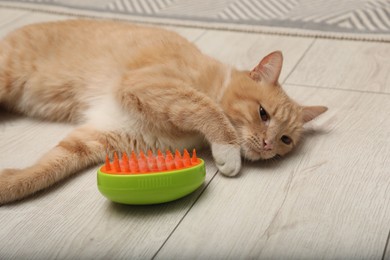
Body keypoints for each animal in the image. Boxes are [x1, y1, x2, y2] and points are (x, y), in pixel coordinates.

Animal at [0, 19, 326, 203]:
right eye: (262, 113)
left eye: (286, 140)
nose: (269, 145)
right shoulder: (149, 84)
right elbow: (208, 109)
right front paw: (228, 152)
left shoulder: (102, 135)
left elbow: (47, 168)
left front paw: (8, 185)